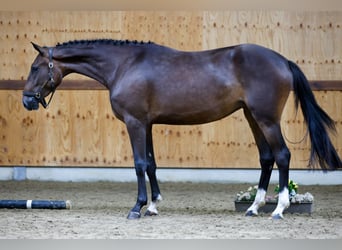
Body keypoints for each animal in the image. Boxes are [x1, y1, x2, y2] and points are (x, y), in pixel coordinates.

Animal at [22, 39, 340, 219]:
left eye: (36, 67)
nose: (27, 100)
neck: (125, 65)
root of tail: (282, 60)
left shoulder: (135, 122)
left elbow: (139, 164)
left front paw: (137, 208)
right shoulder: (147, 123)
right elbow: (151, 164)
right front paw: (153, 206)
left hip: (267, 119)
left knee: (282, 156)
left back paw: (278, 209)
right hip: (253, 118)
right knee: (267, 158)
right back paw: (253, 208)